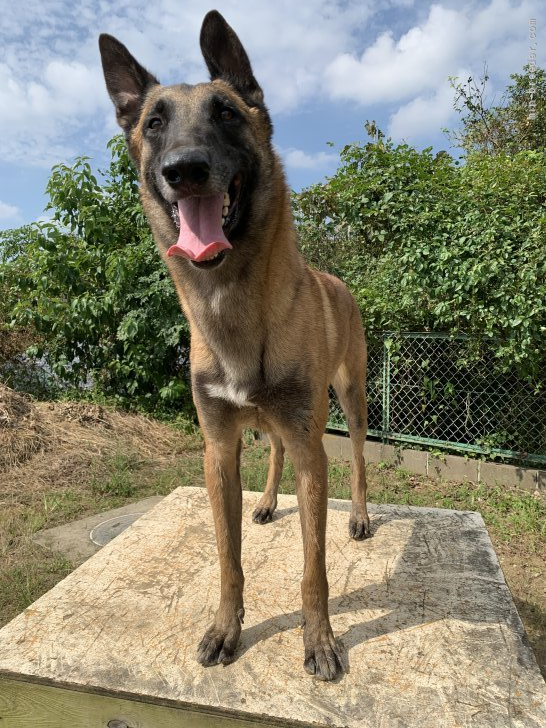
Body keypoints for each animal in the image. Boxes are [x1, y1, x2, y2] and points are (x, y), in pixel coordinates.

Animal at [99, 9, 370, 684]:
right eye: (154, 122)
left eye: (225, 112)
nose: (185, 168)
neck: (234, 308)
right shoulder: (218, 450)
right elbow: (228, 559)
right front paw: (227, 628)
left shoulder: (310, 448)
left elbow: (313, 569)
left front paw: (320, 640)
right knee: (270, 452)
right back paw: (269, 502)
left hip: (350, 398)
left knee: (356, 457)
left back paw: (358, 514)